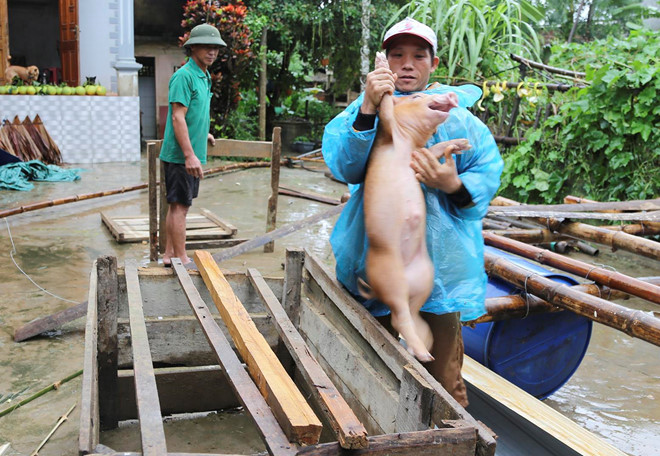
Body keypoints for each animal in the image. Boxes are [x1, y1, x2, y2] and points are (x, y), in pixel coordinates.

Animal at [364, 52, 466, 360]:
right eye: (418, 96)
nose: (451, 95)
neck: (407, 142)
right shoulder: (389, 130)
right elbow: (385, 105)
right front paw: (381, 64)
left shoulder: (418, 151)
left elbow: (436, 149)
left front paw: (463, 144)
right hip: (389, 273)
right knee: (399, 317)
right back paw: (423, 355)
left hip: (425, 278)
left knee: (411, 317)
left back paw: (422, 352)